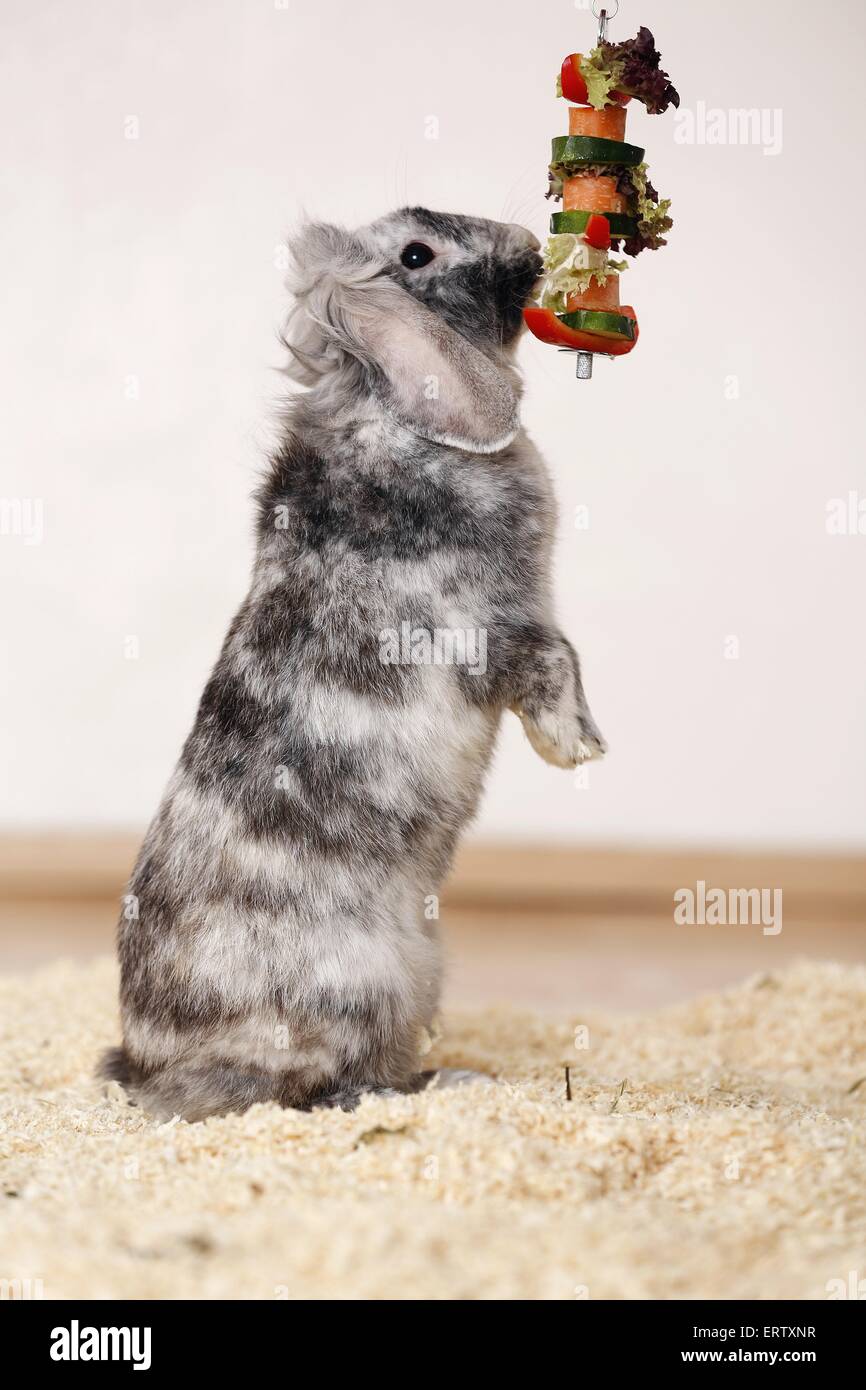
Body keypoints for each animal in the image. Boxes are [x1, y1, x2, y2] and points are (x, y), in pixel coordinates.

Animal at [101, 207, 606, 1122]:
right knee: (327, 1085)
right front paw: (576, 748)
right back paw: (445, 1088)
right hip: (366, 987)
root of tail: (153, 1072)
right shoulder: (490, 631)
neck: (394, 419)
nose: (527, 246)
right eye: (416, 253)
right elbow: (554, 658)